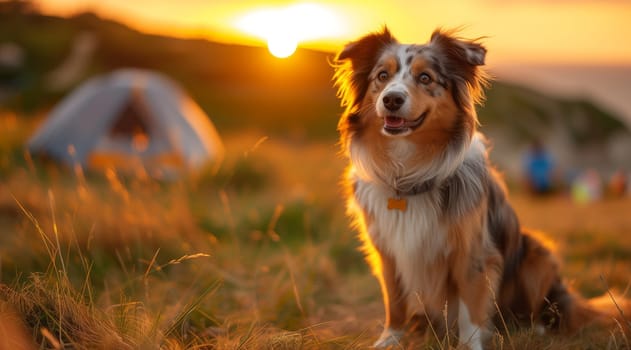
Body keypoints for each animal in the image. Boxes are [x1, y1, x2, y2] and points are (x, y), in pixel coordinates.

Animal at [334, 28, 628, 350]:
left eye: (425, 77)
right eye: (382, 76)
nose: (391, 99)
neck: (409, 171)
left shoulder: (473, 251)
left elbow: (470, 309)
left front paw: (470, 344)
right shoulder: (387, 249)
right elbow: (394, 303)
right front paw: (389, 339)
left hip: (538, 252)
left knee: (543, 310)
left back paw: (534, 329)